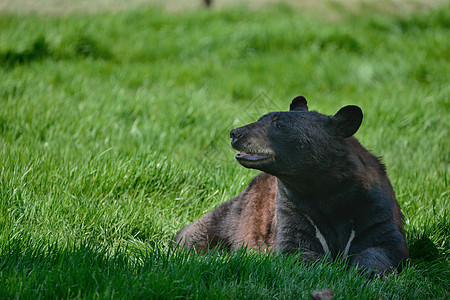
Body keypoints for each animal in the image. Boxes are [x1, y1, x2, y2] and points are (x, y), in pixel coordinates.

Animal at [174, 96, 410, 276]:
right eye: (260, 119)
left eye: (280, 125)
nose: (235, 133)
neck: (324, 190)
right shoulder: (292, 208)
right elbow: (297, 249)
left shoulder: (373, 207)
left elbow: (382, 246)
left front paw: (364, 272)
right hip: (234, 214)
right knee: (196, 233)